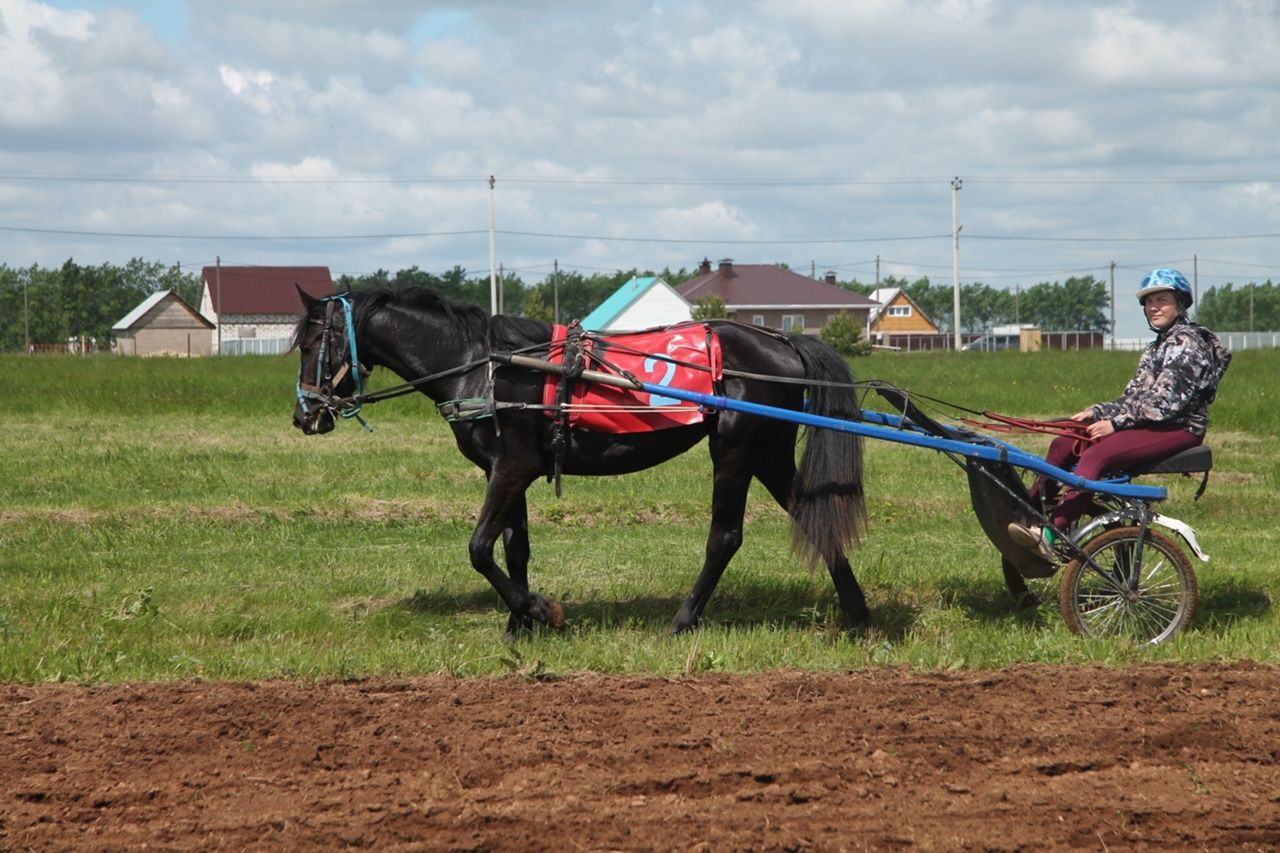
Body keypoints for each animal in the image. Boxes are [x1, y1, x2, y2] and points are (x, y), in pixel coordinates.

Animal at [291, 289, 870, 635]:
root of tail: (784, 341)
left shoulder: (512, 467)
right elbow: (514, 548)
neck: (486, 367)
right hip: (768, 451)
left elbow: (479, 548)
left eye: (313, 341)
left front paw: (539, 610)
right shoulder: (508, 468)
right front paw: (519, 623)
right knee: (814, 515)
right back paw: (858, 613)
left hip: (734, 447)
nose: (305, 415)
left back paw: (683, 619)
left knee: (725, 536)